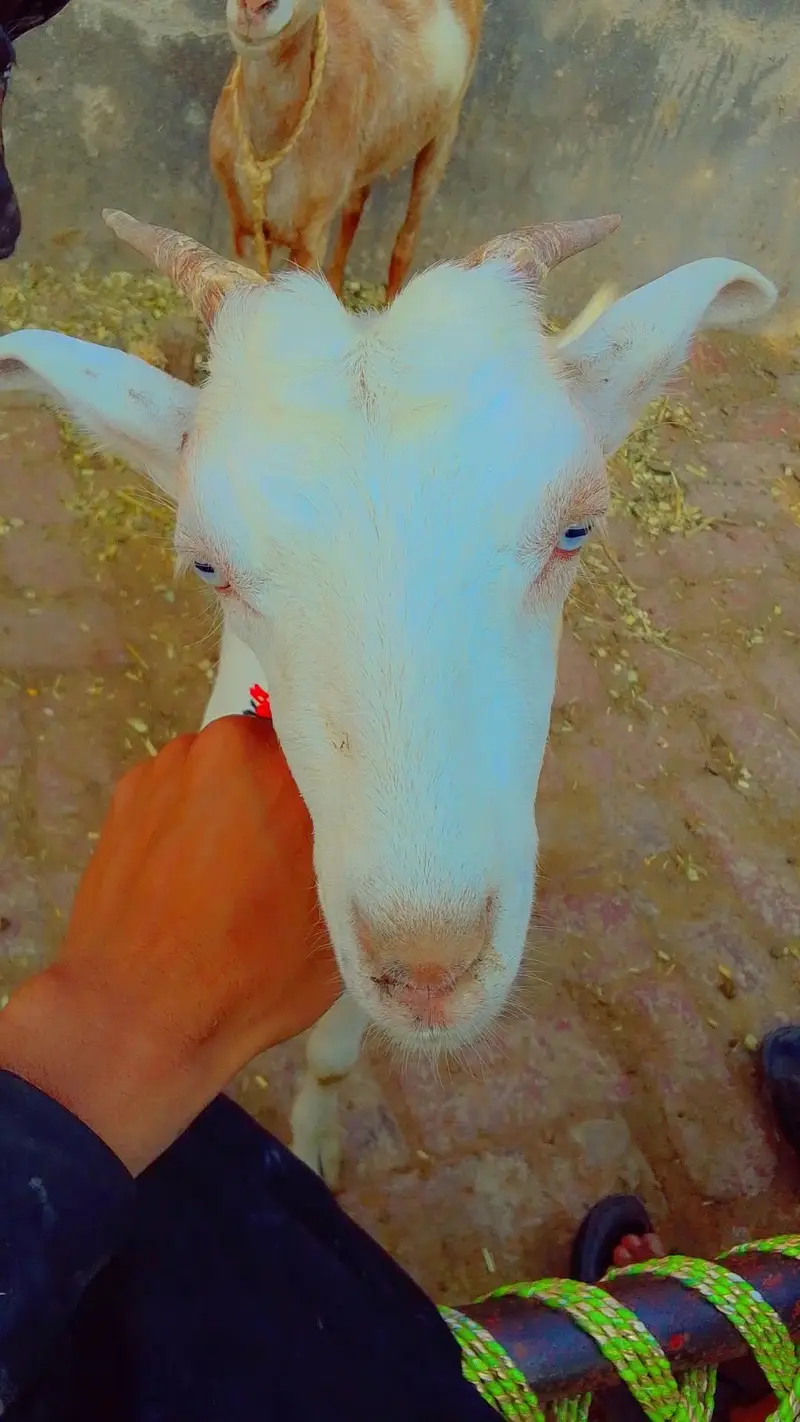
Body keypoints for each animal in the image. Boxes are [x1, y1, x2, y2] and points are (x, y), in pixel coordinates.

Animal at [210, 0, 483, 297]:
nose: (254, 7)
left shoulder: (312, 238)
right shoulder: (244, 228)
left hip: (444, 130)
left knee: (406, 240)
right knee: (354, 209)